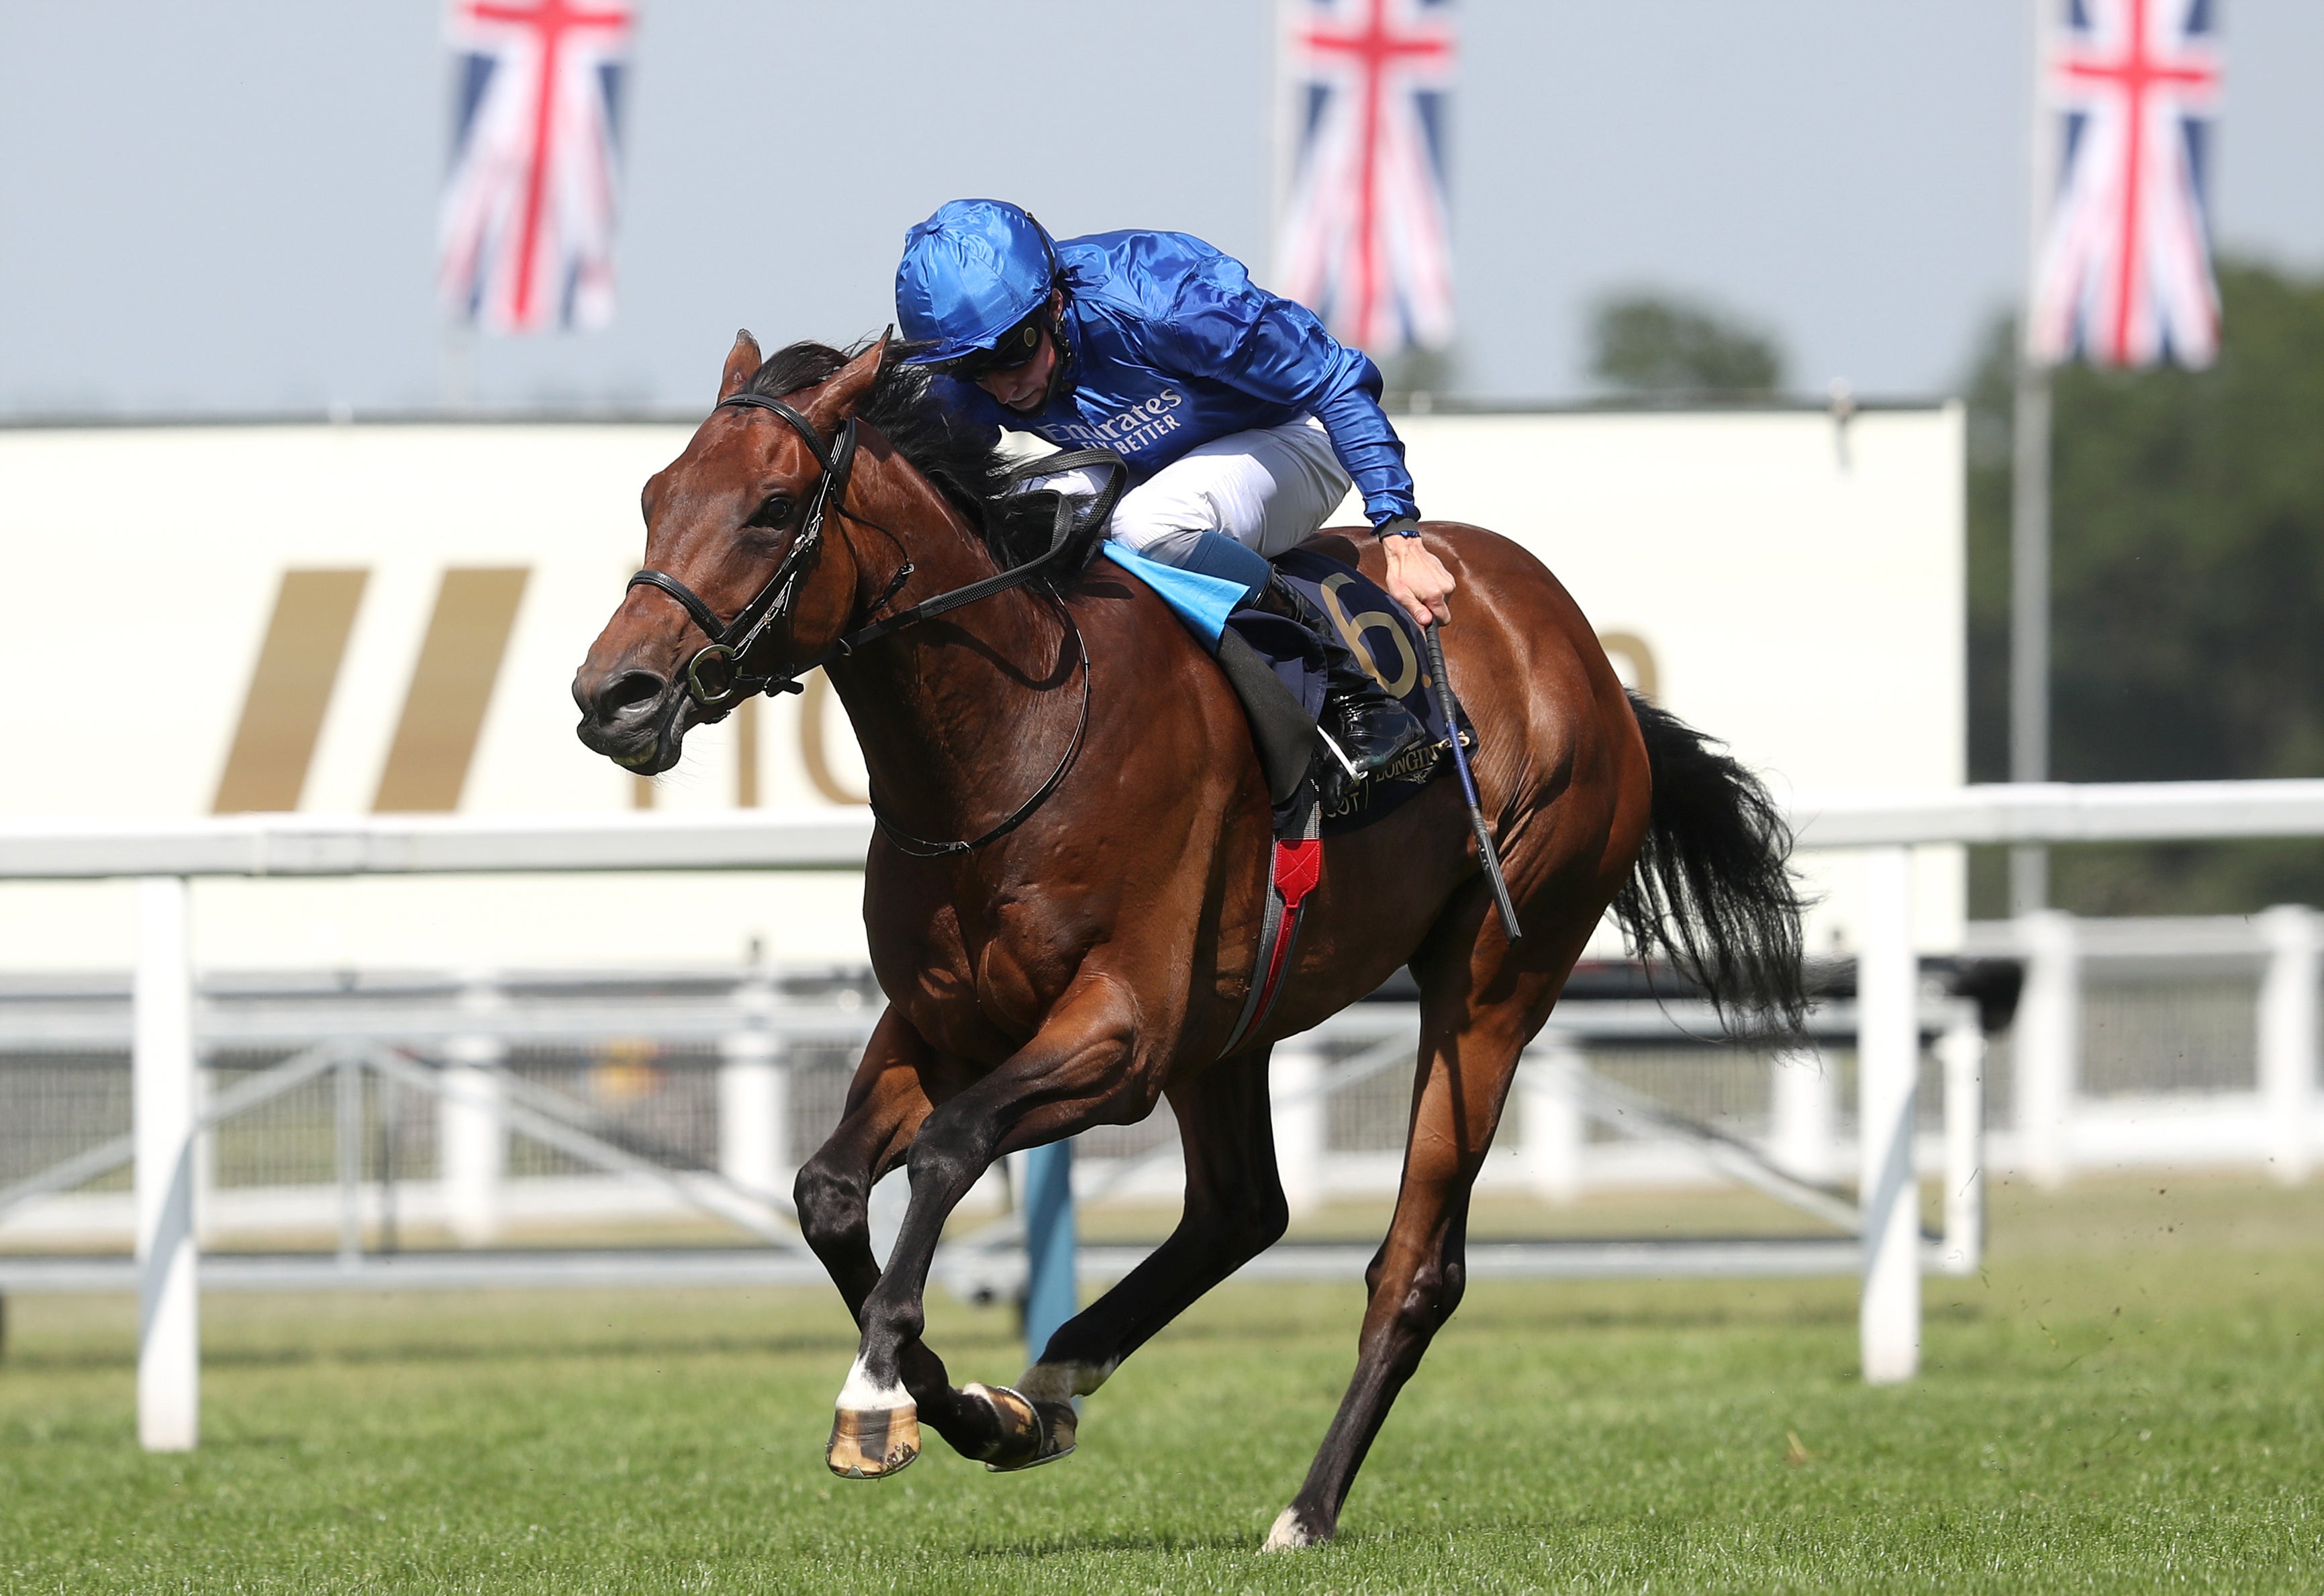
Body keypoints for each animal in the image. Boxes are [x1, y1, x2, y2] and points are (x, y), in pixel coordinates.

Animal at [571, 334, 1803, 1552]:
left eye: (774, 506)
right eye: (654, 495)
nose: (611, 695)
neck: (1010, 740)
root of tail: (1585, 657)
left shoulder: (1120, 1032)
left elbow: (949, 1147)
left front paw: (876, 1397)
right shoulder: (944, 1019)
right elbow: (826, 1188)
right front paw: (959, 1400)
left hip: (1497, 976)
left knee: (1414, 1265)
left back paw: (1305, 1506)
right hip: (1234, 1020)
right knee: (1241, 1207)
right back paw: (1050, 1382)